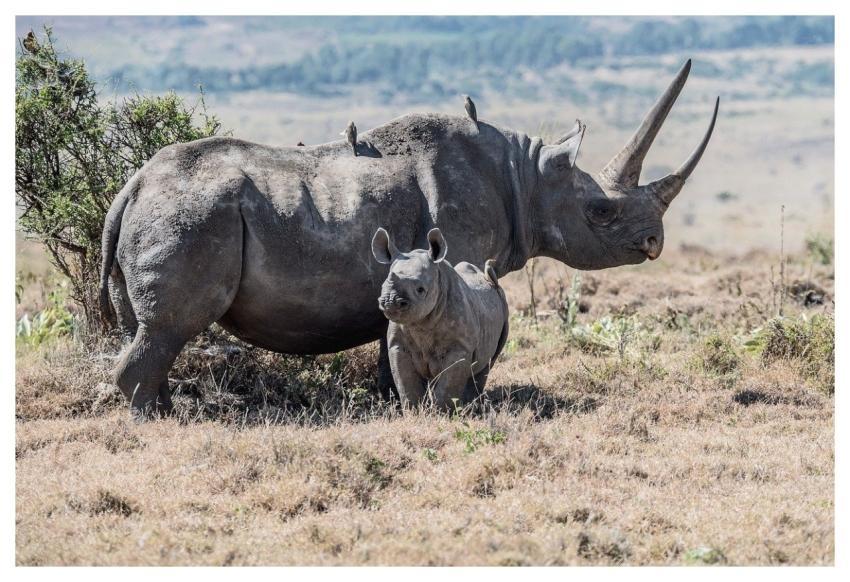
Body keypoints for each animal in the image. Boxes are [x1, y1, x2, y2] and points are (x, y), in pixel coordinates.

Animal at [372, 227, 509, 408]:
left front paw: (441, 411)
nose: (390, 302)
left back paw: (470, 405)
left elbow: (447, 385)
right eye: (382, 286)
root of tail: (489, 280)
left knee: (487, 363)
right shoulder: (398, 345)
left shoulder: (460, 347)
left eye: (420, 290)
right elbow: (406, 382)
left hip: (503, 306)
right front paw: (414, 410)